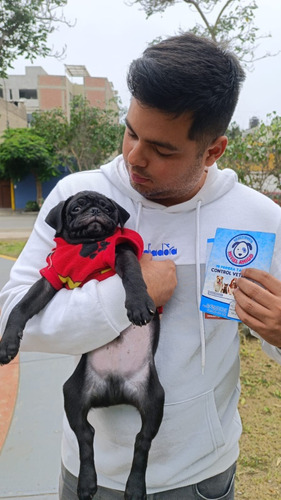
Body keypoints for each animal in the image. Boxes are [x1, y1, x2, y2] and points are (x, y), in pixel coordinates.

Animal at [0, 190, 164, 500]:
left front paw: (137, 304)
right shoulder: (50, 279)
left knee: (142, 442)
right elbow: (20, 307)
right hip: (73, 393)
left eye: (108, 208)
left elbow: (134, 278)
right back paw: (87, 482)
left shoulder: (122, 253)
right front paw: (7, 344)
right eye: (76, 208)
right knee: (86, 436)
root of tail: (115, 389)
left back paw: (135, 487)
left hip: (155, 400)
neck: (86, 244)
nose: (95, 210)